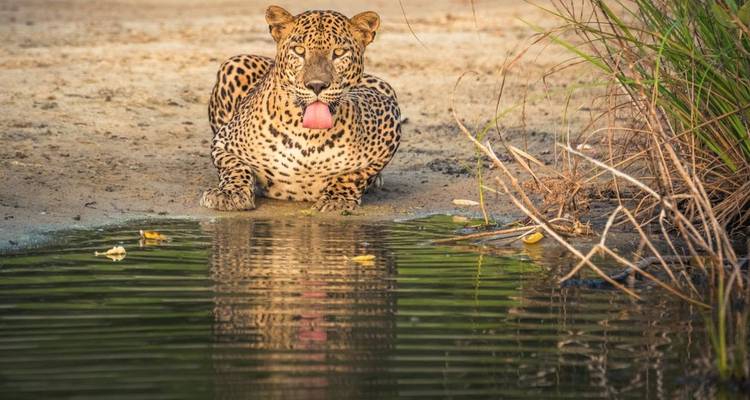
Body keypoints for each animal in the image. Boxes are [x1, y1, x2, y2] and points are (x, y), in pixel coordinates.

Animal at [200, 5, 401, 212]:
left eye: (338, 52)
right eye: (299, 50)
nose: (316, 85)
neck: (308, 137)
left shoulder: (389, 118)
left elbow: (354, 174)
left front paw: (337, 199)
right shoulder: (223, 142)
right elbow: (235, 166)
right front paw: (229, 194)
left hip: (384, 86)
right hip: (234, 63)